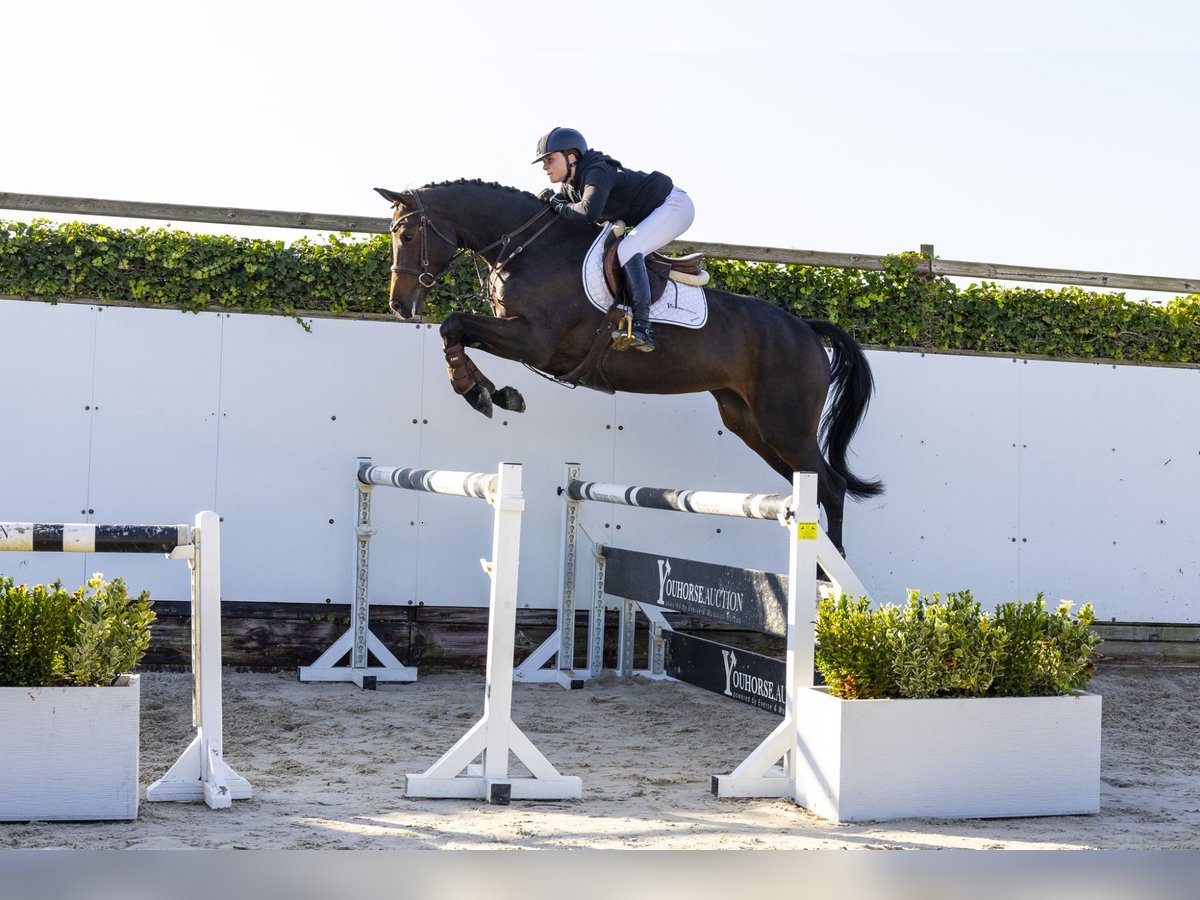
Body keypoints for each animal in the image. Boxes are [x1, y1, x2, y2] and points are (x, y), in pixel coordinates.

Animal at [374, 180, 883, 554]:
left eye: (406, 235)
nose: (399, 306)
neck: (530, 249)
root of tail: (805, 328)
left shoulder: (536, 342)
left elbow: (454, 323)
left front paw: (482, 392)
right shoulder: (518, 337)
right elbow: (456, 333)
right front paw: (489, 392)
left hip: (786, 425)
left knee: (832, 486)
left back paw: (829, 575)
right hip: (751, 425)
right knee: (812, 484)